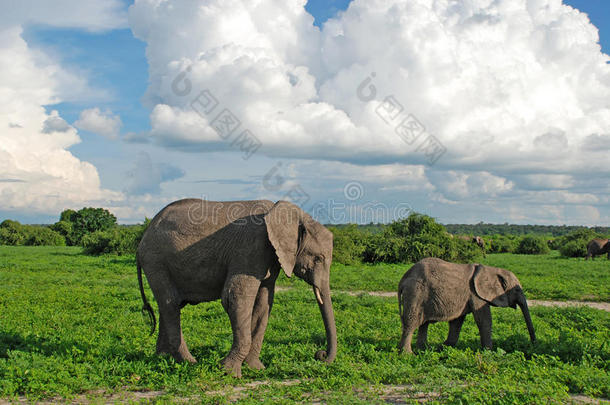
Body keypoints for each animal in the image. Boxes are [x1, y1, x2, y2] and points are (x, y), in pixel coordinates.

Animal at [137, 199, 338, 376]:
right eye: (318, 258)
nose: (320, 355)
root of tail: (143, 238)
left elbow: (264, 303)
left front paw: (256, 368)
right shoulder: (250, 248)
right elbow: (234, 298)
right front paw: (229, 372)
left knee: (169, 305)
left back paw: (162, 358)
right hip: (156, 261)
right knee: (170, 305)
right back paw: (189, 363)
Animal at [394, 258, 532, 352]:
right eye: (517, 290)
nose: (533, 343)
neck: (491, 269)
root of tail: (403, 279)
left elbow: (457, 322)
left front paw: (443, 348)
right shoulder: (475, 294)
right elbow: (484, 320)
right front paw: (489, 352)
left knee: (423, 324)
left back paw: (424, 350)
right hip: (416, 293)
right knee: (411, 322)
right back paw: (408, 355)